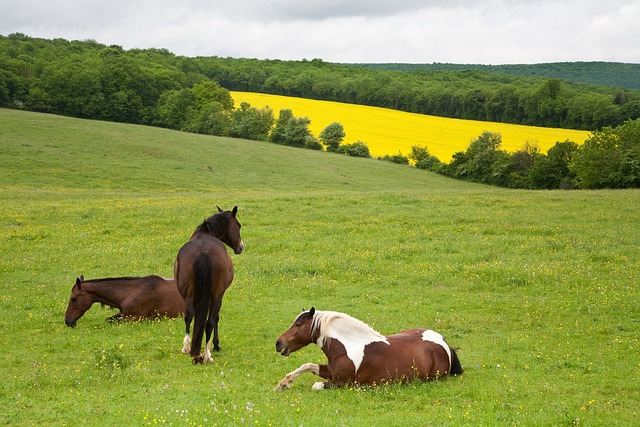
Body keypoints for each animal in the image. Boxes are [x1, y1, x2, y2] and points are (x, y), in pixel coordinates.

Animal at [174, 207, 244, 364]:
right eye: (238, 226)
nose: (241, 247)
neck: (204, 233)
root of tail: (203, 252)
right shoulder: (218, 295)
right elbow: (216, 318)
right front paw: (216, 345)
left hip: (188, 295)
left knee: (190, 317)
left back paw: (188, 348)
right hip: (216, 296)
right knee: (209, 322)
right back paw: (206, 355)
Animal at [272, 308, 462, 392]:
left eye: (298, 324)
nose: (278, 343)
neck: (348, 347)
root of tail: (444, 343)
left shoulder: (343, 383)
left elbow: (316, 385)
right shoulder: (330, 371)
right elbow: (308, 365)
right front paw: (283, 383)